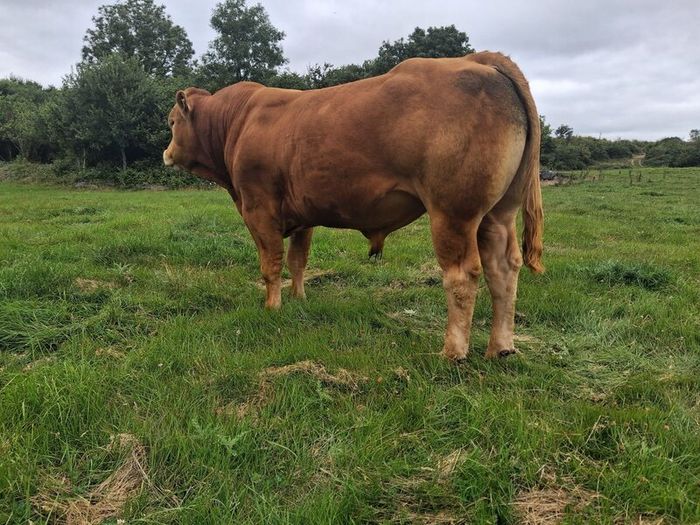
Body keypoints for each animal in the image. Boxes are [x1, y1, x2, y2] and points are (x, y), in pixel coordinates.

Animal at [163, 51, 544, 362]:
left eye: (171, 121)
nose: (166, 153)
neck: (238, 122)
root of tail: (478, 60)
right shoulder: (303, 217)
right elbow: (297, 260)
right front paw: (299, 299)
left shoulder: (259, 208)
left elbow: (270, 264)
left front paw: (272, 307)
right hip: (497, 214)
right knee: (503, 269)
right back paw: (501, 347)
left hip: (453, 213)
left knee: (463, 275)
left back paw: (453, 352)